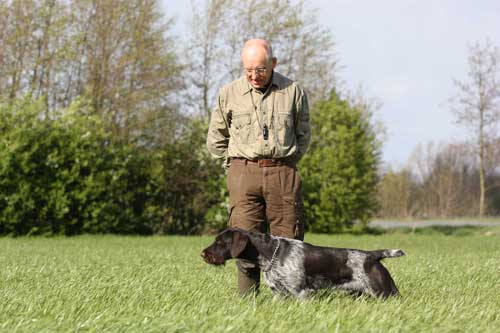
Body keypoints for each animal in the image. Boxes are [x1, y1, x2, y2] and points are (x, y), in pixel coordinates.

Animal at [201, 227, 404, 296]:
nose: (202, 253)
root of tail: (372, 255)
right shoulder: (279, 293)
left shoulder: (301, 292)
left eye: (220, 242)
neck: (271, 254)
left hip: (385, 292)